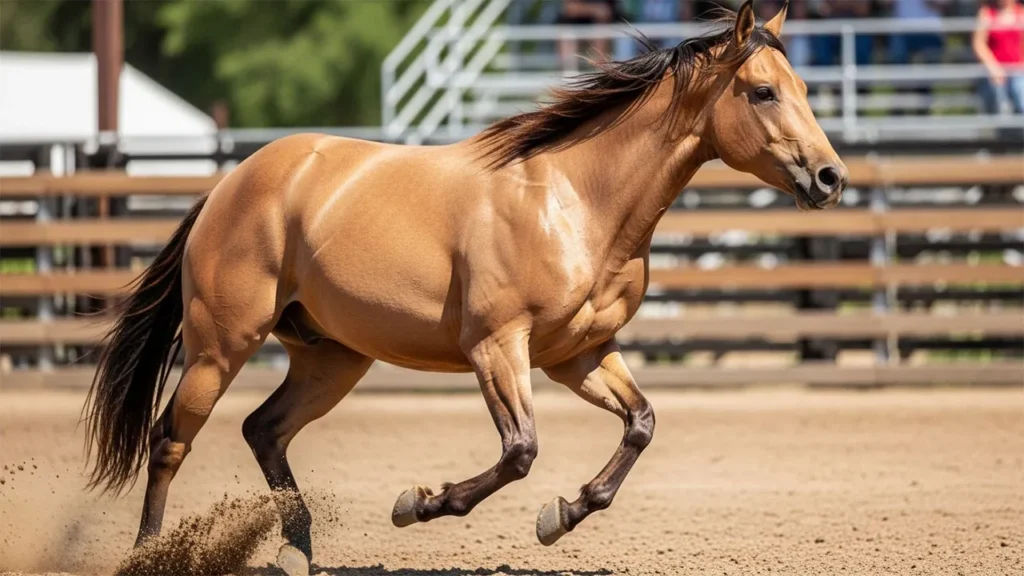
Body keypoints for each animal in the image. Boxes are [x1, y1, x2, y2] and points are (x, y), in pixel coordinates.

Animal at [84, 2, 846, 574]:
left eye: (806, 90)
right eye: (764, 91)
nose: (830, 177)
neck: (577, 200)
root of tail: (231, 183)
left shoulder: (579, 354)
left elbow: (641, 424)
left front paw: (560, 515)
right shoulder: (497, 346)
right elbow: (520, 451)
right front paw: (418, 503)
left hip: (332, 358)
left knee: (262, 429)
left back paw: (299, 553)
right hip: (220, 346)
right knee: (169, 441)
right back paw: (151, 555)